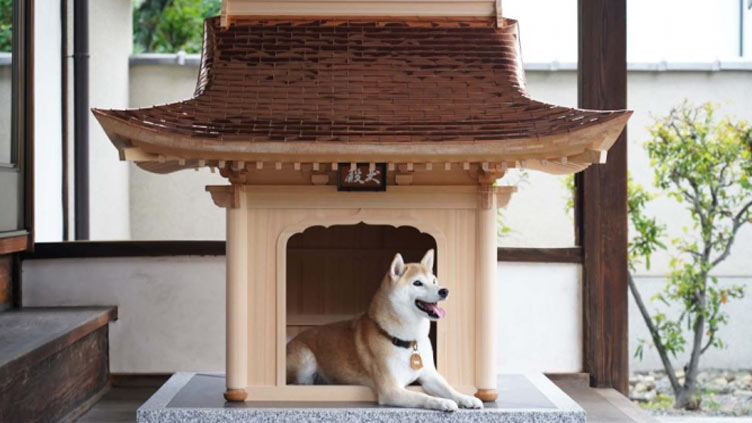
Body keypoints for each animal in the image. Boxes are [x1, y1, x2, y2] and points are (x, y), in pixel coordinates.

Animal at [284, 250, 484, 412]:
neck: (408, 340)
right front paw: (443, 402)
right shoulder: (391, 390)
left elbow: (449, 388)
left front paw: (466, 398)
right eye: (417, 283)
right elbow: (424, 396)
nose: (444, 291)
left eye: (434, 281)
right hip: (306, 360)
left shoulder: (429, 375)